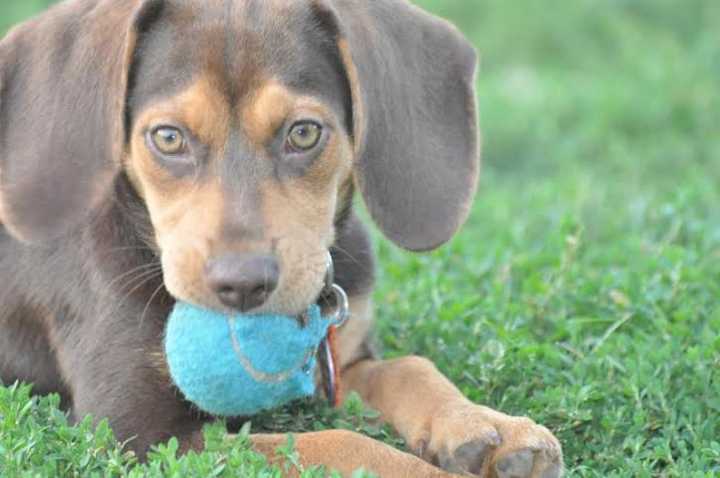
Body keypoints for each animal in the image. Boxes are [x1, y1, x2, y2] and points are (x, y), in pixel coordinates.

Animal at [0, 0, 564, 476]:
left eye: (304, 132)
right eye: (168, 137)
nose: (242, 285)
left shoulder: (340, 363)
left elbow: (408, 368)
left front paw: (483, 425)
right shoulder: (139, 431)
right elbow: (342, 444)